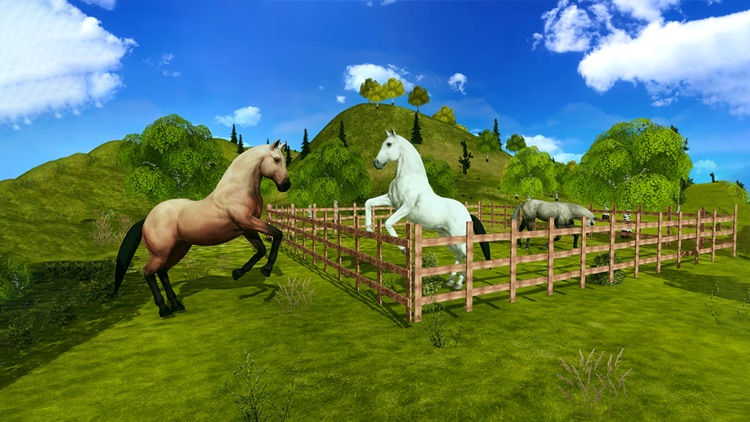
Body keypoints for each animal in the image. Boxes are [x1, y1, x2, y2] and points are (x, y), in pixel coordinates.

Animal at [114, 140, 291, 317]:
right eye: (276, 159)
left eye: (284, 160)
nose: (286, 185)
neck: (238, 190)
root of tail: (147, 219)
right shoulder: (247, 221)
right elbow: (278, 234)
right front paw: (266, 270)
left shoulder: (247, 228)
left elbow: (261, 250)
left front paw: (237, 273)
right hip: (160, 253)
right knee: (148, 272)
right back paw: (164, 310)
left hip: (177, 250)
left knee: (162, 272)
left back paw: (176, 305)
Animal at [364, 129, 491, 291]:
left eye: (389, 144)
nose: (377, 163)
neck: (408, 177)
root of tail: (468, 214)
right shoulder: (391, 201)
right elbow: (368, 202)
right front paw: (369, 229)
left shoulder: (406, 206)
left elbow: (388, 223)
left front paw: (403, 249)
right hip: (448, 238)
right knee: (459, 255)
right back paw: (450, 281)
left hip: (459, 238)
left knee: (467, 255)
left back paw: (458, 284)